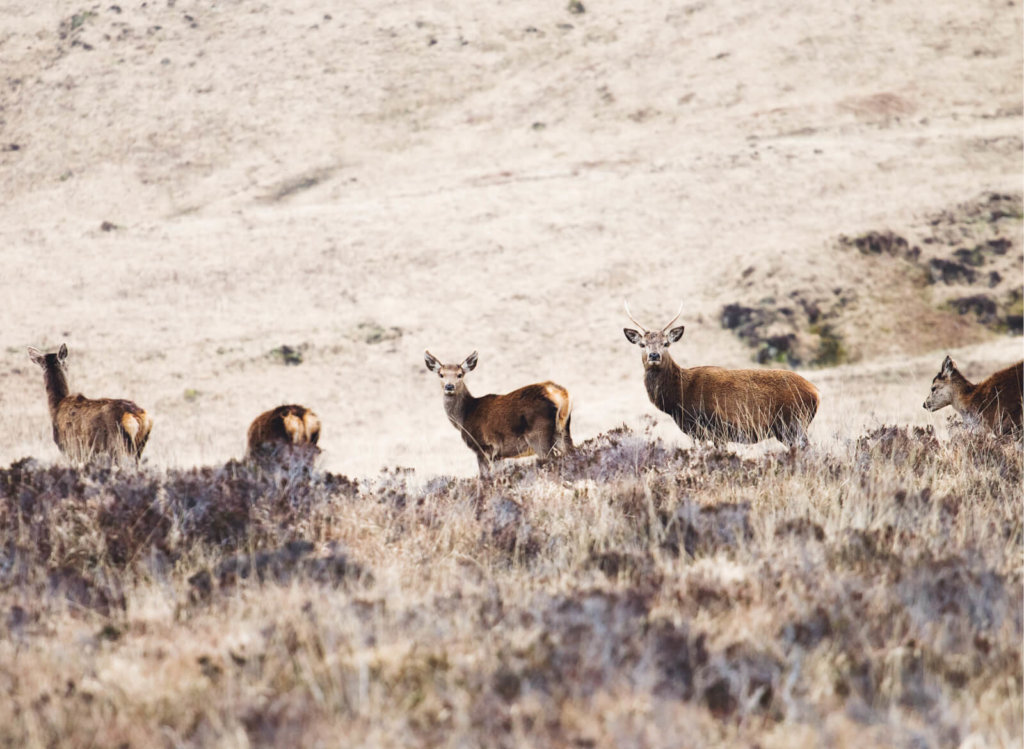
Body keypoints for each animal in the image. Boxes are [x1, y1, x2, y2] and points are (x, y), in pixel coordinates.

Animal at [419, 350, 573, 477]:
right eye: (441, 374)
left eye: (460, 374)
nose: (449, 386)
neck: (464, 417)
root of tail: (560, 394)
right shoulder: (499, 455)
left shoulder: (483, 447)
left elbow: (484, 478)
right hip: (563, 429)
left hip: (538, 435)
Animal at [618, 301, 819, 448]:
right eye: (642, 344)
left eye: (666, 343)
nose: (654, 356)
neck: (680, 397)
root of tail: (816, 393)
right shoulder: (699, 432)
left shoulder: (716, 428)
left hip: (792, 423)